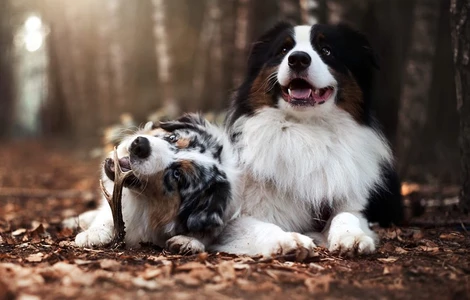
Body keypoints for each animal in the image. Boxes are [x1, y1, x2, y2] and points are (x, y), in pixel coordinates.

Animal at [217, 23, 404, 258]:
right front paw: (287, 239)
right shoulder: (231, 218)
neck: (306, 130)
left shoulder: (352, 202)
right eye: (283, 50)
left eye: (326, 50)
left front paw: (351, 236)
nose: (297, 59)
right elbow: (256, 225)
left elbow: (347, 214)